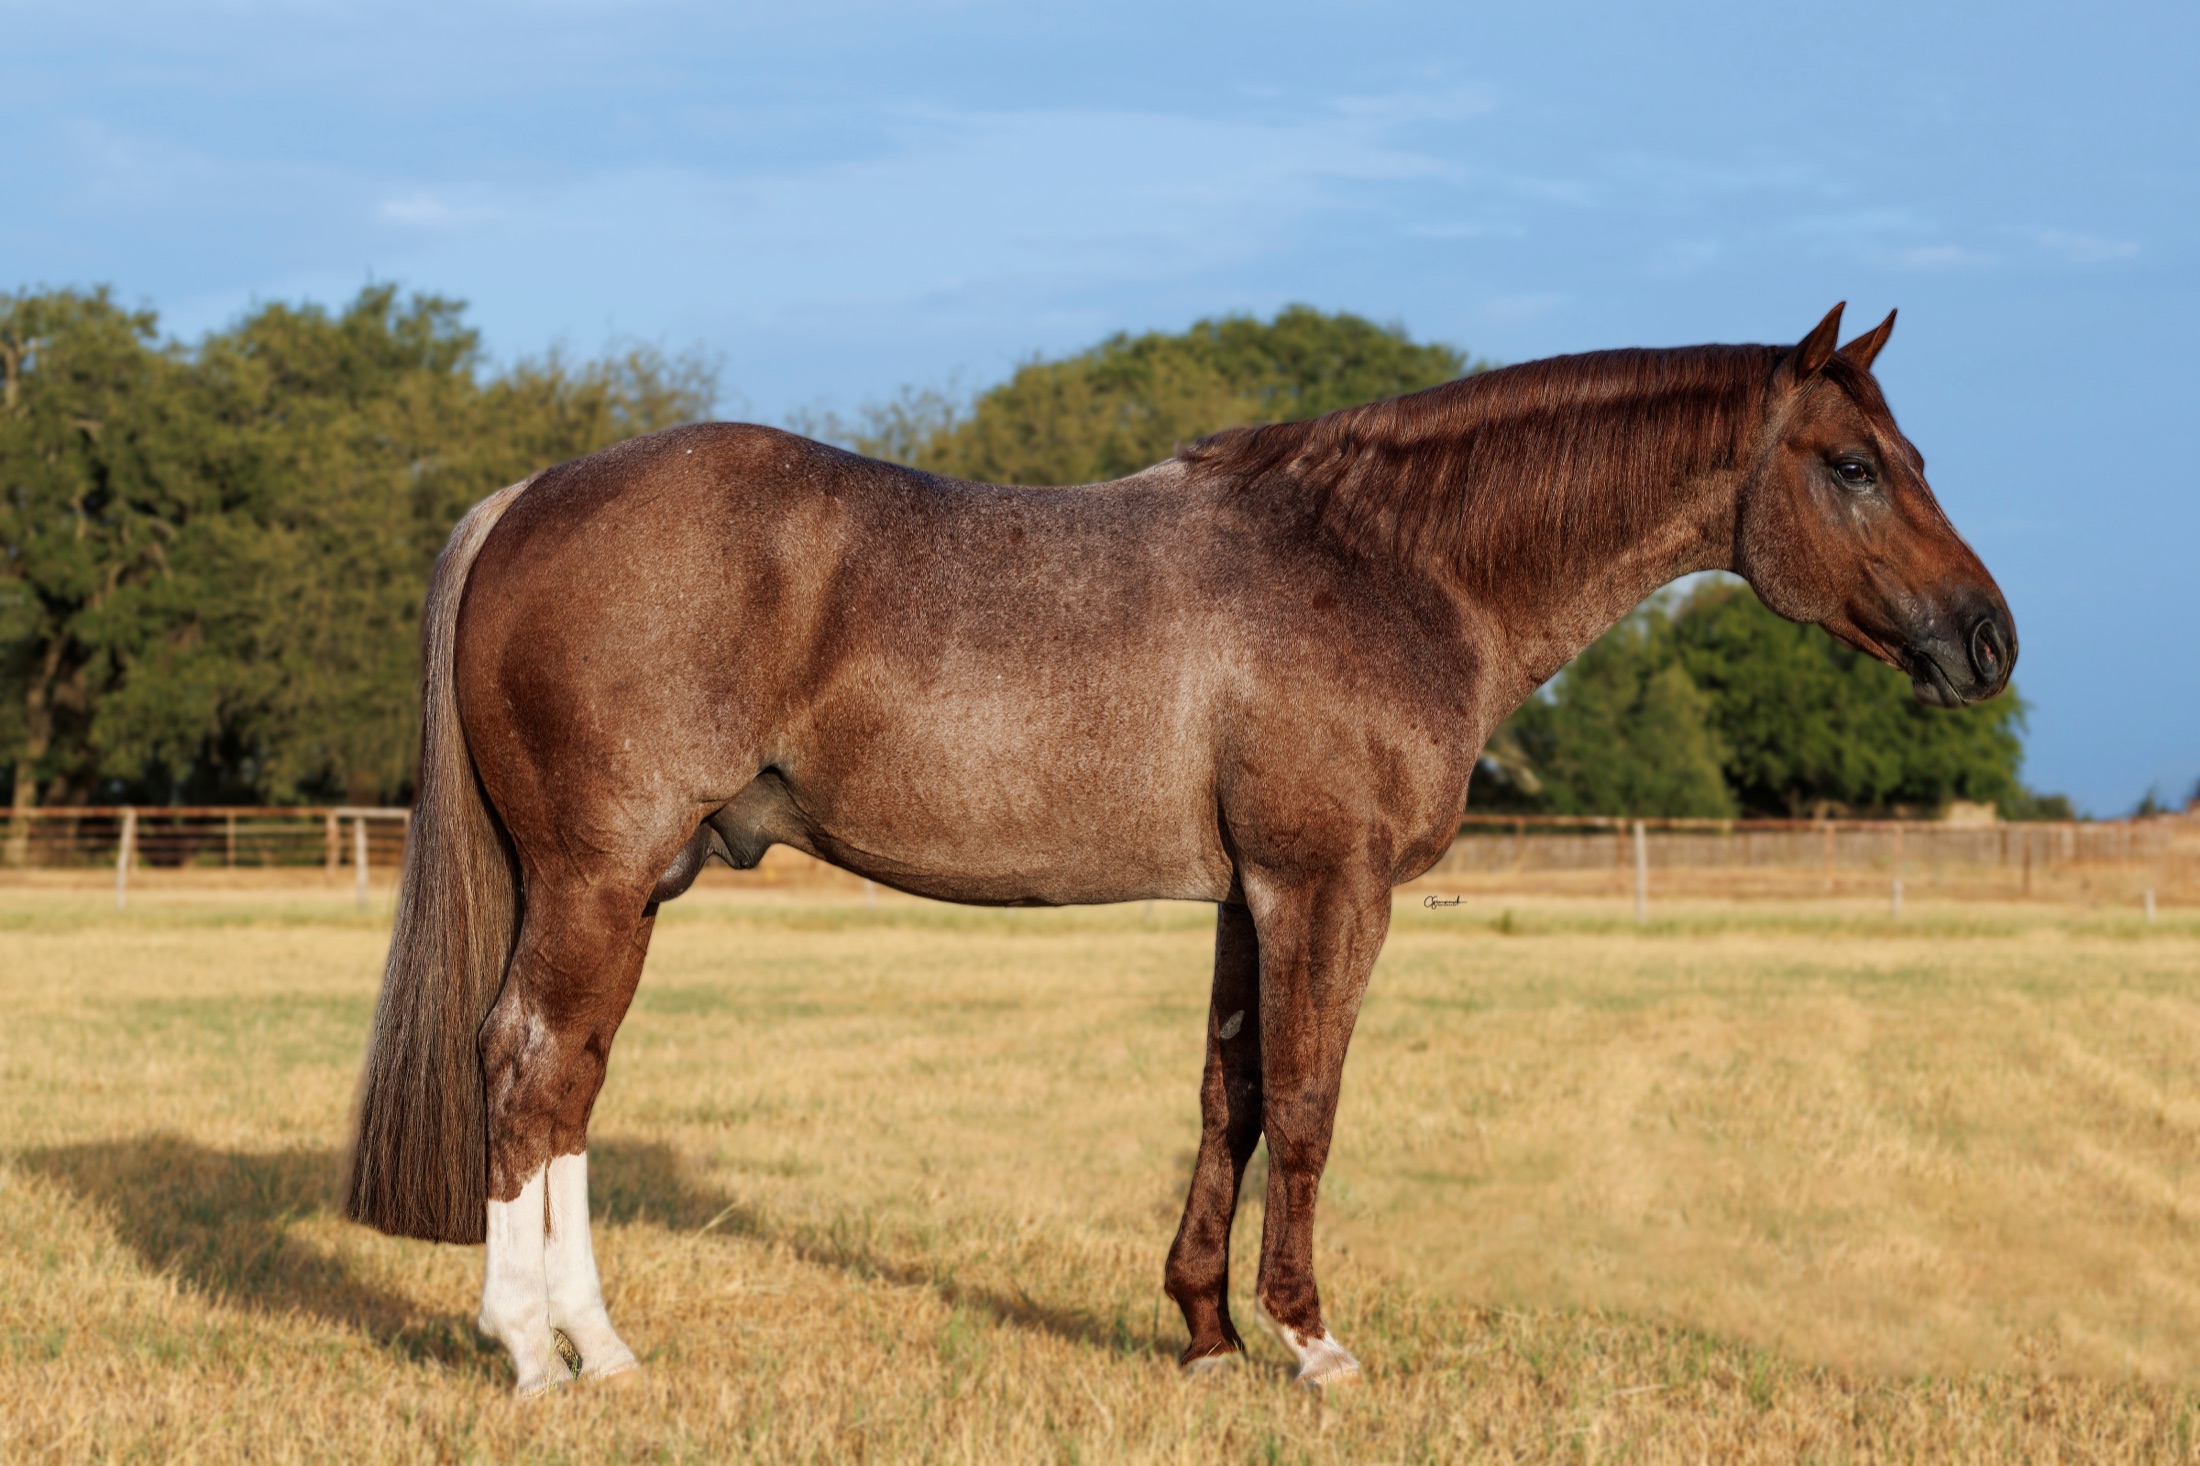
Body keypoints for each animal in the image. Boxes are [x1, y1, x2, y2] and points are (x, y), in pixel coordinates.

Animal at [344, 303, 2015, 1393]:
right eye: (1855, 466)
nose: (1987, 641)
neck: (1395, 564)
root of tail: (527, 497)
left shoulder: (1245, 897)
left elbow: (1234, 1097)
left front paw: (1204, 1331)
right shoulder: (1326, 887)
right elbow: (1315, 1103)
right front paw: (1311, 1339)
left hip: (629, 882)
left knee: (570, 1076)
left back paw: (599, 1347)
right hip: (602, 874)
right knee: (534, 1063)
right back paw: (544, 1352)